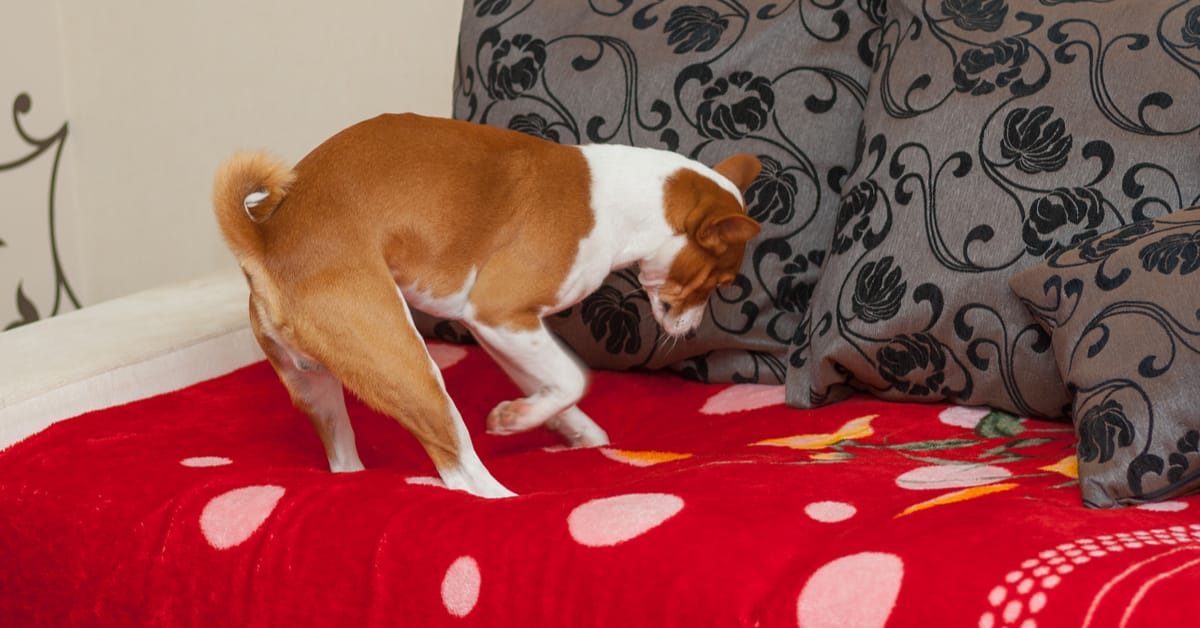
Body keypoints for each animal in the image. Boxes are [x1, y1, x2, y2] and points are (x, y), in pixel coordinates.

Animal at [212, 111, 758, 497]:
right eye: (721, 281)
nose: (691, 330)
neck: (625, 201)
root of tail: (267, 241)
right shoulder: (500, 312)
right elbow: (574, 378)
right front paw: (515, 420)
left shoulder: (501, 330)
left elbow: (553, 386)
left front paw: (570, 429)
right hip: (411, 370)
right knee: (460, 472)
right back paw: (508, 500)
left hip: (318, 389)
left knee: (345, 462)